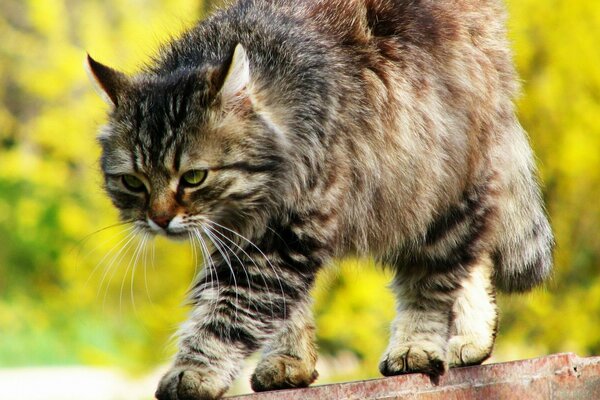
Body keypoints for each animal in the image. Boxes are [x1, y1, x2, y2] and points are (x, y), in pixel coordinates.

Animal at [85, 0, 552, 400]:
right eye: (134, 183)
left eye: (193, 178)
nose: (159, 219)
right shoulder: (244, 238)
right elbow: (282, 312)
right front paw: (289, 361)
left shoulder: (282, 238)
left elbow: (228, 314)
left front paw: (193, 371)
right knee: (469, 261)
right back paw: (470, 338)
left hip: (433, 188)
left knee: (435, 277)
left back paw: (417, 347)